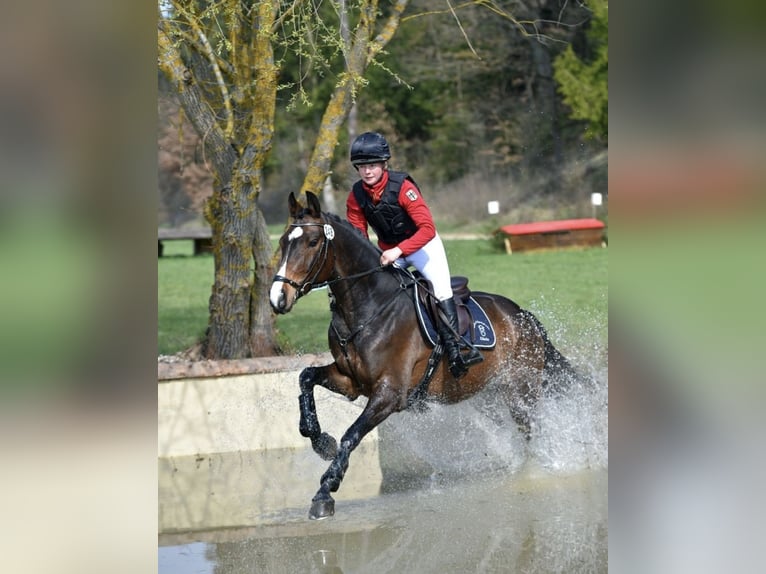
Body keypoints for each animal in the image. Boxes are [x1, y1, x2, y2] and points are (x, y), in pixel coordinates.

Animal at [272, 194, 580, 520]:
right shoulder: (350, 381)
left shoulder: (389, 394)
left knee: (531, 430)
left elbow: (351, 435)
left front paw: (325, 492)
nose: (277, 298)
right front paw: (321, 442)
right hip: (488, 395)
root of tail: (524, 316)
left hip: (521, 390)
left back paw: (532, 473)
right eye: (282, 241)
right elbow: (306, 377)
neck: (368, 308)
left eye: (313, 242)